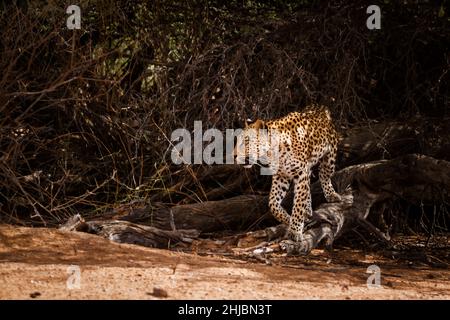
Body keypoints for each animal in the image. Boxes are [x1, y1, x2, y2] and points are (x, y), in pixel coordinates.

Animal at [236, 105, 342, 242]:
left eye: (246, 142)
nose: (234, 156)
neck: (273, 152)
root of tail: (321, 107)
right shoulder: (281, 176)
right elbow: (273, 203)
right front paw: (288, 219)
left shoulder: (300, 173)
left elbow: (298, 204)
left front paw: (295, 230)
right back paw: (307, 210)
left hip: (329, 157)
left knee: (324, 175)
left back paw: (331, 195)